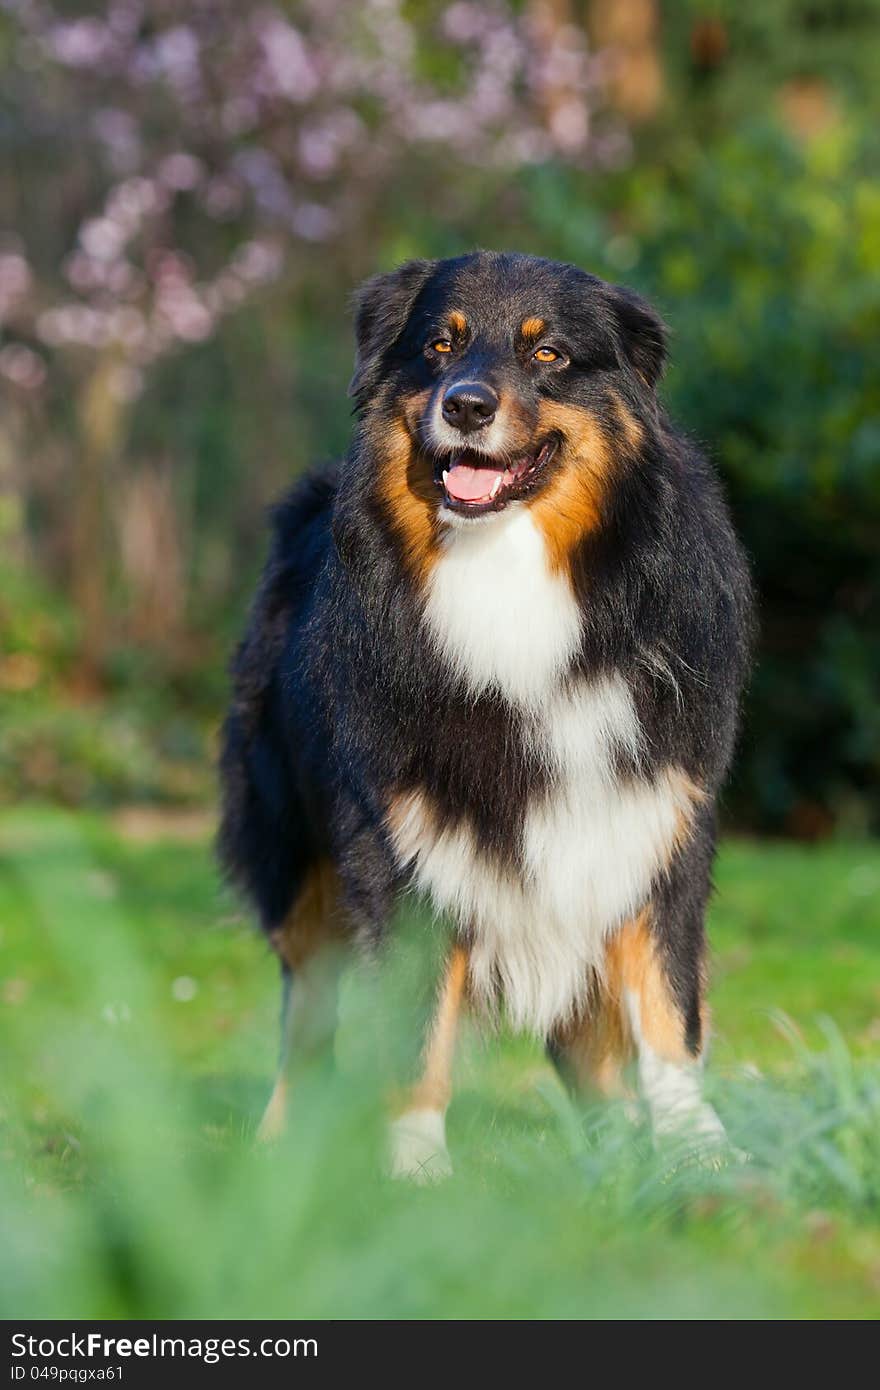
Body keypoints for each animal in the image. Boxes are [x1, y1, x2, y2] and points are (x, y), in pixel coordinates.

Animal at [216, 250, 750, 1173]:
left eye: (549, 354)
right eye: (439, 344)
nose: (465, 405)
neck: (510, 571)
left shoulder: (653, 817)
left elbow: (666, 1002)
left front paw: (696, 1155)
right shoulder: (396, 841)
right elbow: (415, 1023)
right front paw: (417, 1166)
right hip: (292, 851)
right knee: (308, 1006)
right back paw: (281, 1150)